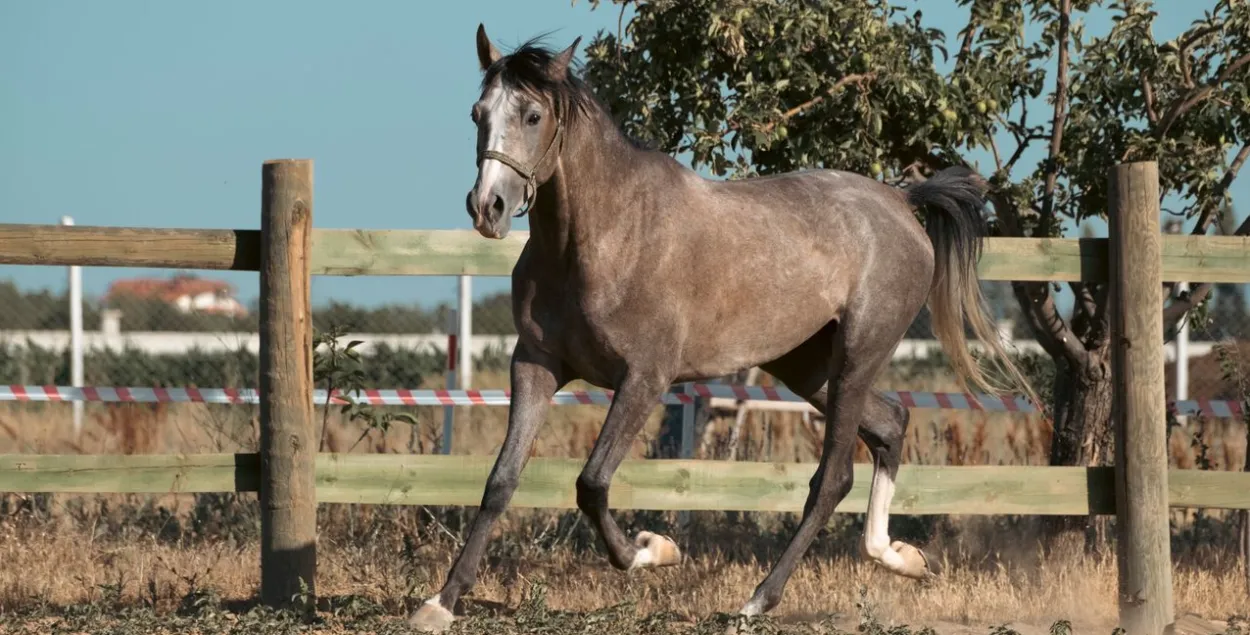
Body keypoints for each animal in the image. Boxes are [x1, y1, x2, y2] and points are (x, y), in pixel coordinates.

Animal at [408, 24, 1037, 633]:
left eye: (533, 116)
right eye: (478, 113)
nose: (487, 206)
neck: (603, 235)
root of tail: (902, 203)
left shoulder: (645, 378)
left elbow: (592, 482)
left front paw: (653, 550)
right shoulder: (536, 365)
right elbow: (501, 481)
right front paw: (441, 603)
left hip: (858, 355)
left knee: (832, 477)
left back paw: (756, 603)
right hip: (807, 366)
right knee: (891, 424)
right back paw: (900, 557)